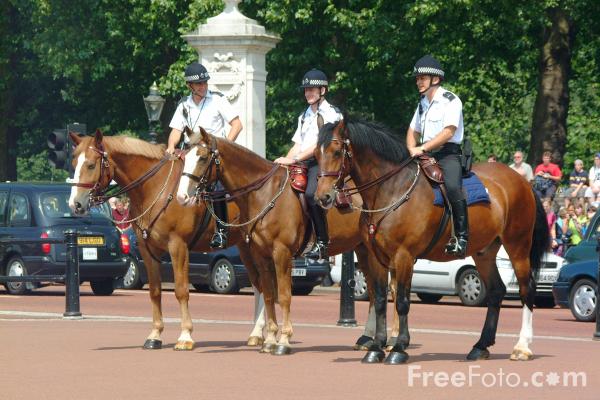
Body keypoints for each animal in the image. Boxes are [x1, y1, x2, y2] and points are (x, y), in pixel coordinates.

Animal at [67, 130, 269, 350]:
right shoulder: (148, 249)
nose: (75, 204)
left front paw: (185, 336)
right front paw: (155, 334)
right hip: (244, 246)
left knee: (262, 284)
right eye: (73, 163)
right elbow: (155, 291)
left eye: (91, 165)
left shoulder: (178, 246)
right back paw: (257, 333)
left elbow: (181, 290)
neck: (155, 189)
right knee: (258, 284)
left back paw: (261, 332)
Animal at [175, 127, 392, 355]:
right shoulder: (261, 255)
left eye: (202, 157)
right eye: (185, 157)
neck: (264, 193)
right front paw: (270, 339)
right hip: (362, 249)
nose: (182, 196)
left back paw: (389, 340)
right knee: (373, 291)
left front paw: (284, 340)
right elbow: (270, 295)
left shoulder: (282, 252)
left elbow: (285, 295)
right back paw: (367, 338)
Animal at [315, 117, 549, 364]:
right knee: (496, 291)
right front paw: (376, 348)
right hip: (484, 252)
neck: (391, 189)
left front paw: (399, 348)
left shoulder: (404, 256)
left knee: (527, 289)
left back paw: (522, 346)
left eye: (337, 151)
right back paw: (480, 346)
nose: (323, 197)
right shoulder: (376, 257)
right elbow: (379, 300)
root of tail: (522, 181)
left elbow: (402, 302)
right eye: (316, 154)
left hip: (518, 245)